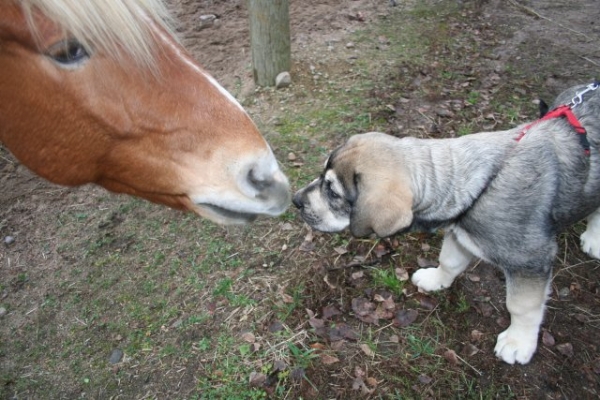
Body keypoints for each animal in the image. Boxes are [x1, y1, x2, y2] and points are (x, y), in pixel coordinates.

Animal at [294, 83, 600, 364]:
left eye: (333, 192)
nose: (296, 200)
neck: (476, 186)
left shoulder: (529, 262)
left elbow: (521, 306)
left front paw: (518, 341)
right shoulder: (459, 235)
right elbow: (449, 261)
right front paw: (435, 280)